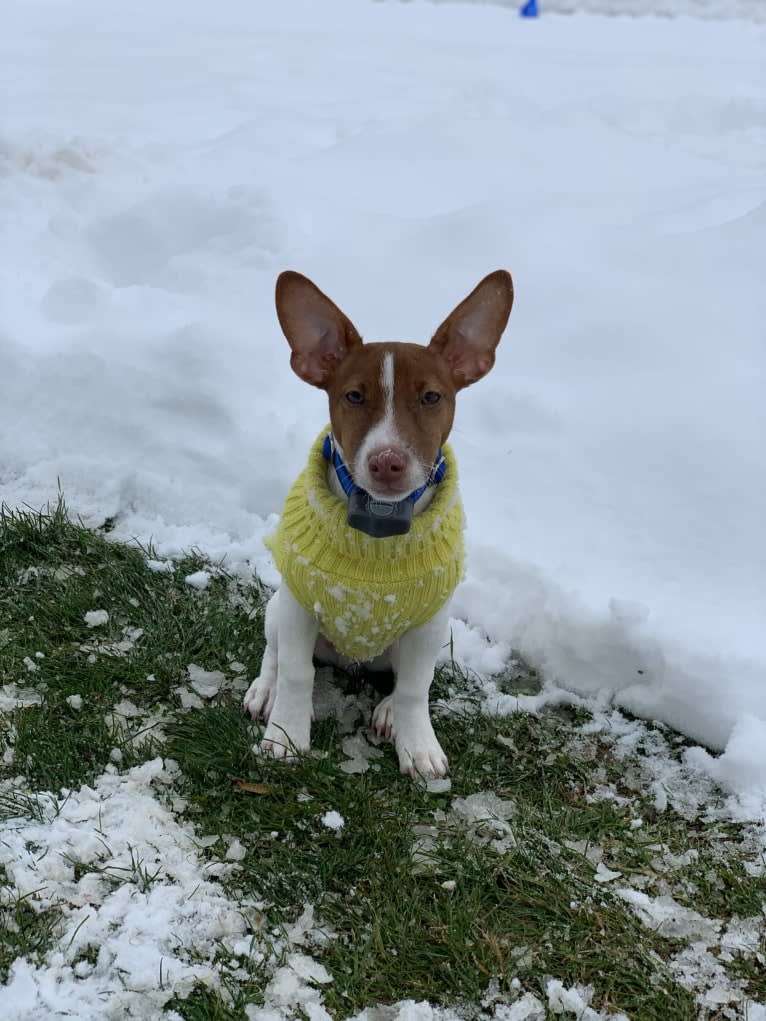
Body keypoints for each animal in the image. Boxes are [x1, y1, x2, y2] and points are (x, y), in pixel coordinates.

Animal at [243, 267, 512, 775]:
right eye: (353, 396)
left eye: (432, 397)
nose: (387, 462)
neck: (378, 527)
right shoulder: (299, 604)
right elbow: (296, 672)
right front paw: (286, 734)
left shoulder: (429, 623)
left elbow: (415, 688)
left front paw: (418, 745)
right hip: (279, 606)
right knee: (276, 652)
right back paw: (265, 689)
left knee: (402, 679)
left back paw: (388, 713)